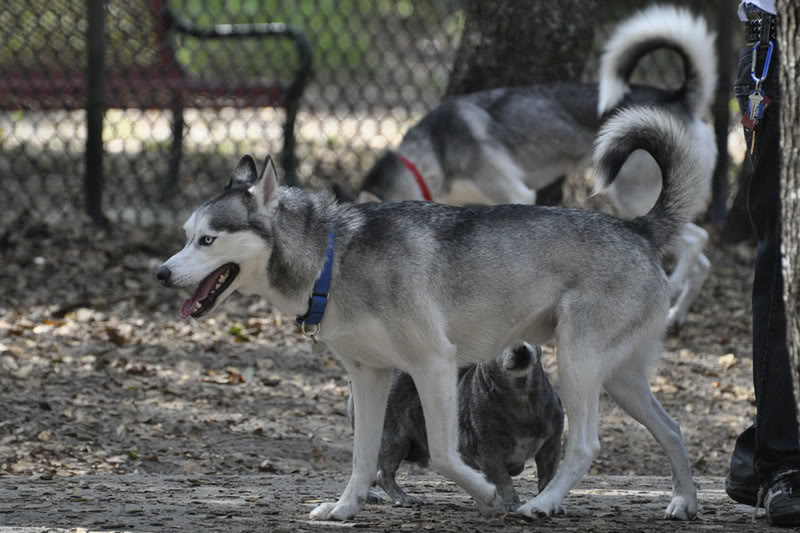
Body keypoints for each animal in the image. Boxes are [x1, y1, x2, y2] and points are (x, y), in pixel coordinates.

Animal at [346, 342, 564, 510]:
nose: (519, 347)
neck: (520, 396)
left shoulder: (551, 449)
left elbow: (548, 479)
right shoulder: (489, 453)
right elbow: (504, 480)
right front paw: (512, 503)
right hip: (393, 438)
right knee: (383, 473)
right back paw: (403, 498)